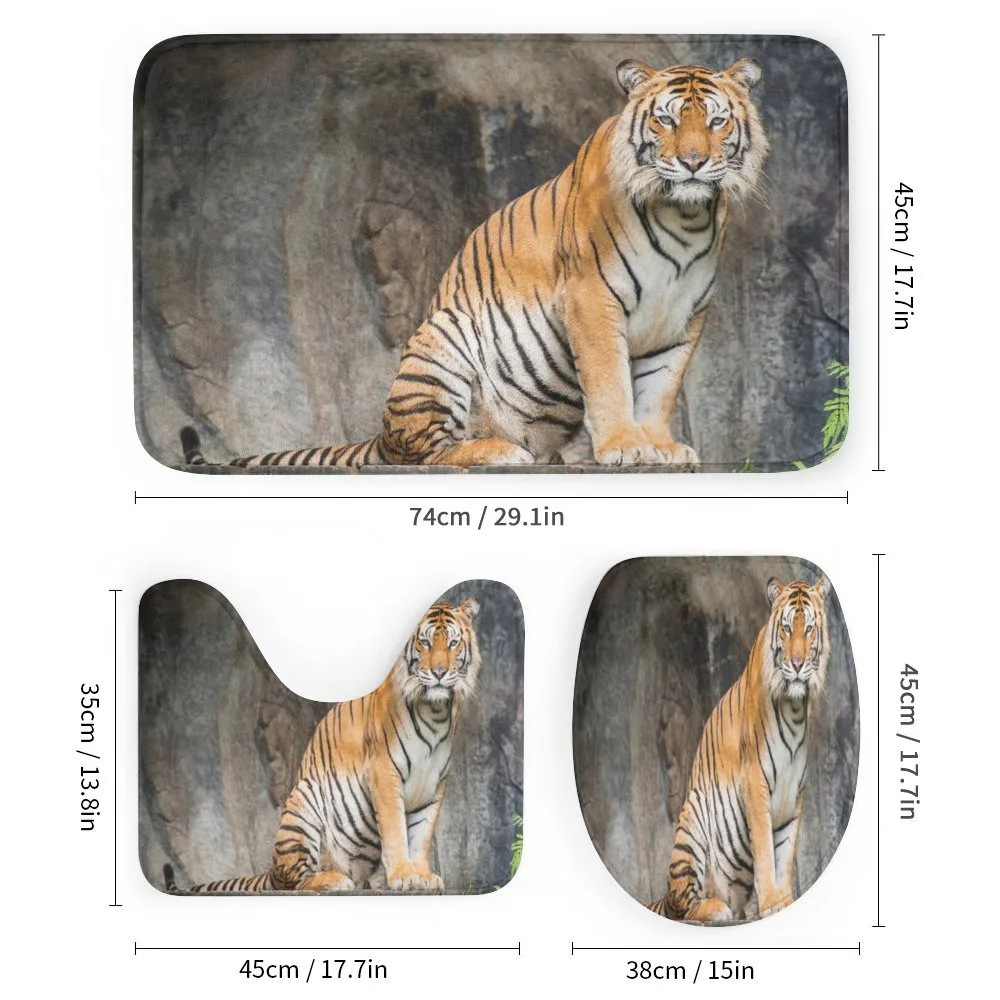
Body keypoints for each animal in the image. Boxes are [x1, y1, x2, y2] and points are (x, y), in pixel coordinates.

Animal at [163, 599, 481, 894]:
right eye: (424, 642)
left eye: (453, 643)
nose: (439, 672)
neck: (435, 711)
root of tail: (271, 869)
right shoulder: (384, 773)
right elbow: (396, 832)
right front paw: (403, 875)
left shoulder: (435, 783)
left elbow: (421, 835)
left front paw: (421, 876)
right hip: (303, 804)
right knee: (294, 881)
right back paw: (334, 880)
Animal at [180, 56, 768, 470]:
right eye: (665, 120)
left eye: (717, 122)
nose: (693, 163)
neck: (685, 215)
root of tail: (381, 434)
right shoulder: (591, 297)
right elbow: (611, 382)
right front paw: (624, 447)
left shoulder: (686, 316)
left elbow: (660, 390)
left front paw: (662, 447)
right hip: (443, 340)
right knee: (427, 454)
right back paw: (499, 452)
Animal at [647, 575, 831, 923]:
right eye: (787, 628)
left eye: (809, 629)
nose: (797, 664)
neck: (795, 708)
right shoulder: (754, 779)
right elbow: (765, 849)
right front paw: (771, 900)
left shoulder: (795, 789)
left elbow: (786, 853)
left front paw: (784, 900)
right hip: (691, 825)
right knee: (683, 906)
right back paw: (715, 908)